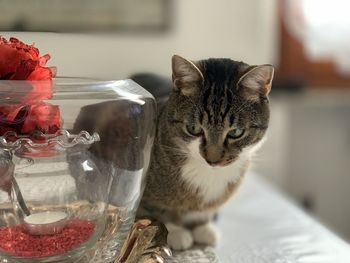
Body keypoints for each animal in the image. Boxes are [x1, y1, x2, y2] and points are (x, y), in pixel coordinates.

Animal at [138, 55, 274, 250]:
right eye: (193, 129)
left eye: (235, 132)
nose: (213, 160)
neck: (208, 174)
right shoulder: (148, 194)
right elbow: (160, 210)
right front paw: (175, 232)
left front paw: (203, 227)